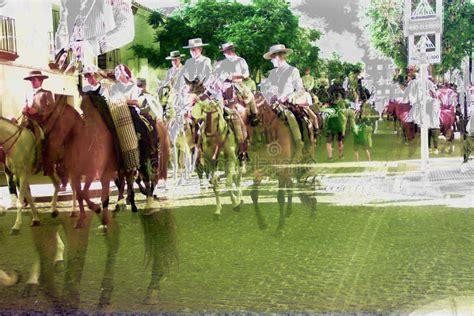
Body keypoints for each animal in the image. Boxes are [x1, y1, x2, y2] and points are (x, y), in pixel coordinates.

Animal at [252, 92, 318, 236]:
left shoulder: (282, 169)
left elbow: (280, 196)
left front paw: (280, 227)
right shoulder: (260, 169)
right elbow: (254, 195)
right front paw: (261, 223)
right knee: (290, 184)